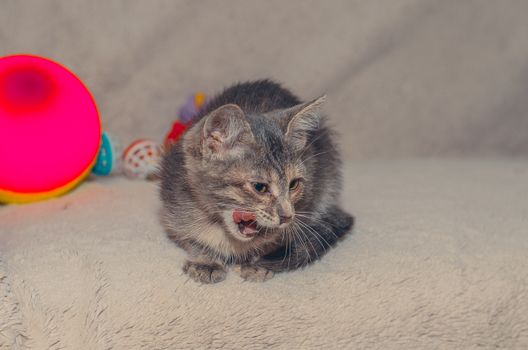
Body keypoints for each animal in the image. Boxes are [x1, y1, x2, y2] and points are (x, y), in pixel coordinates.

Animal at [159, 80, 352, 284]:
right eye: (260, 187)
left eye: (293, 185)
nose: (287, 216)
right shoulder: (173, 210)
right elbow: (191, 239)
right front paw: (206, 261)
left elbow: (273, 241)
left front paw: (257, 263)